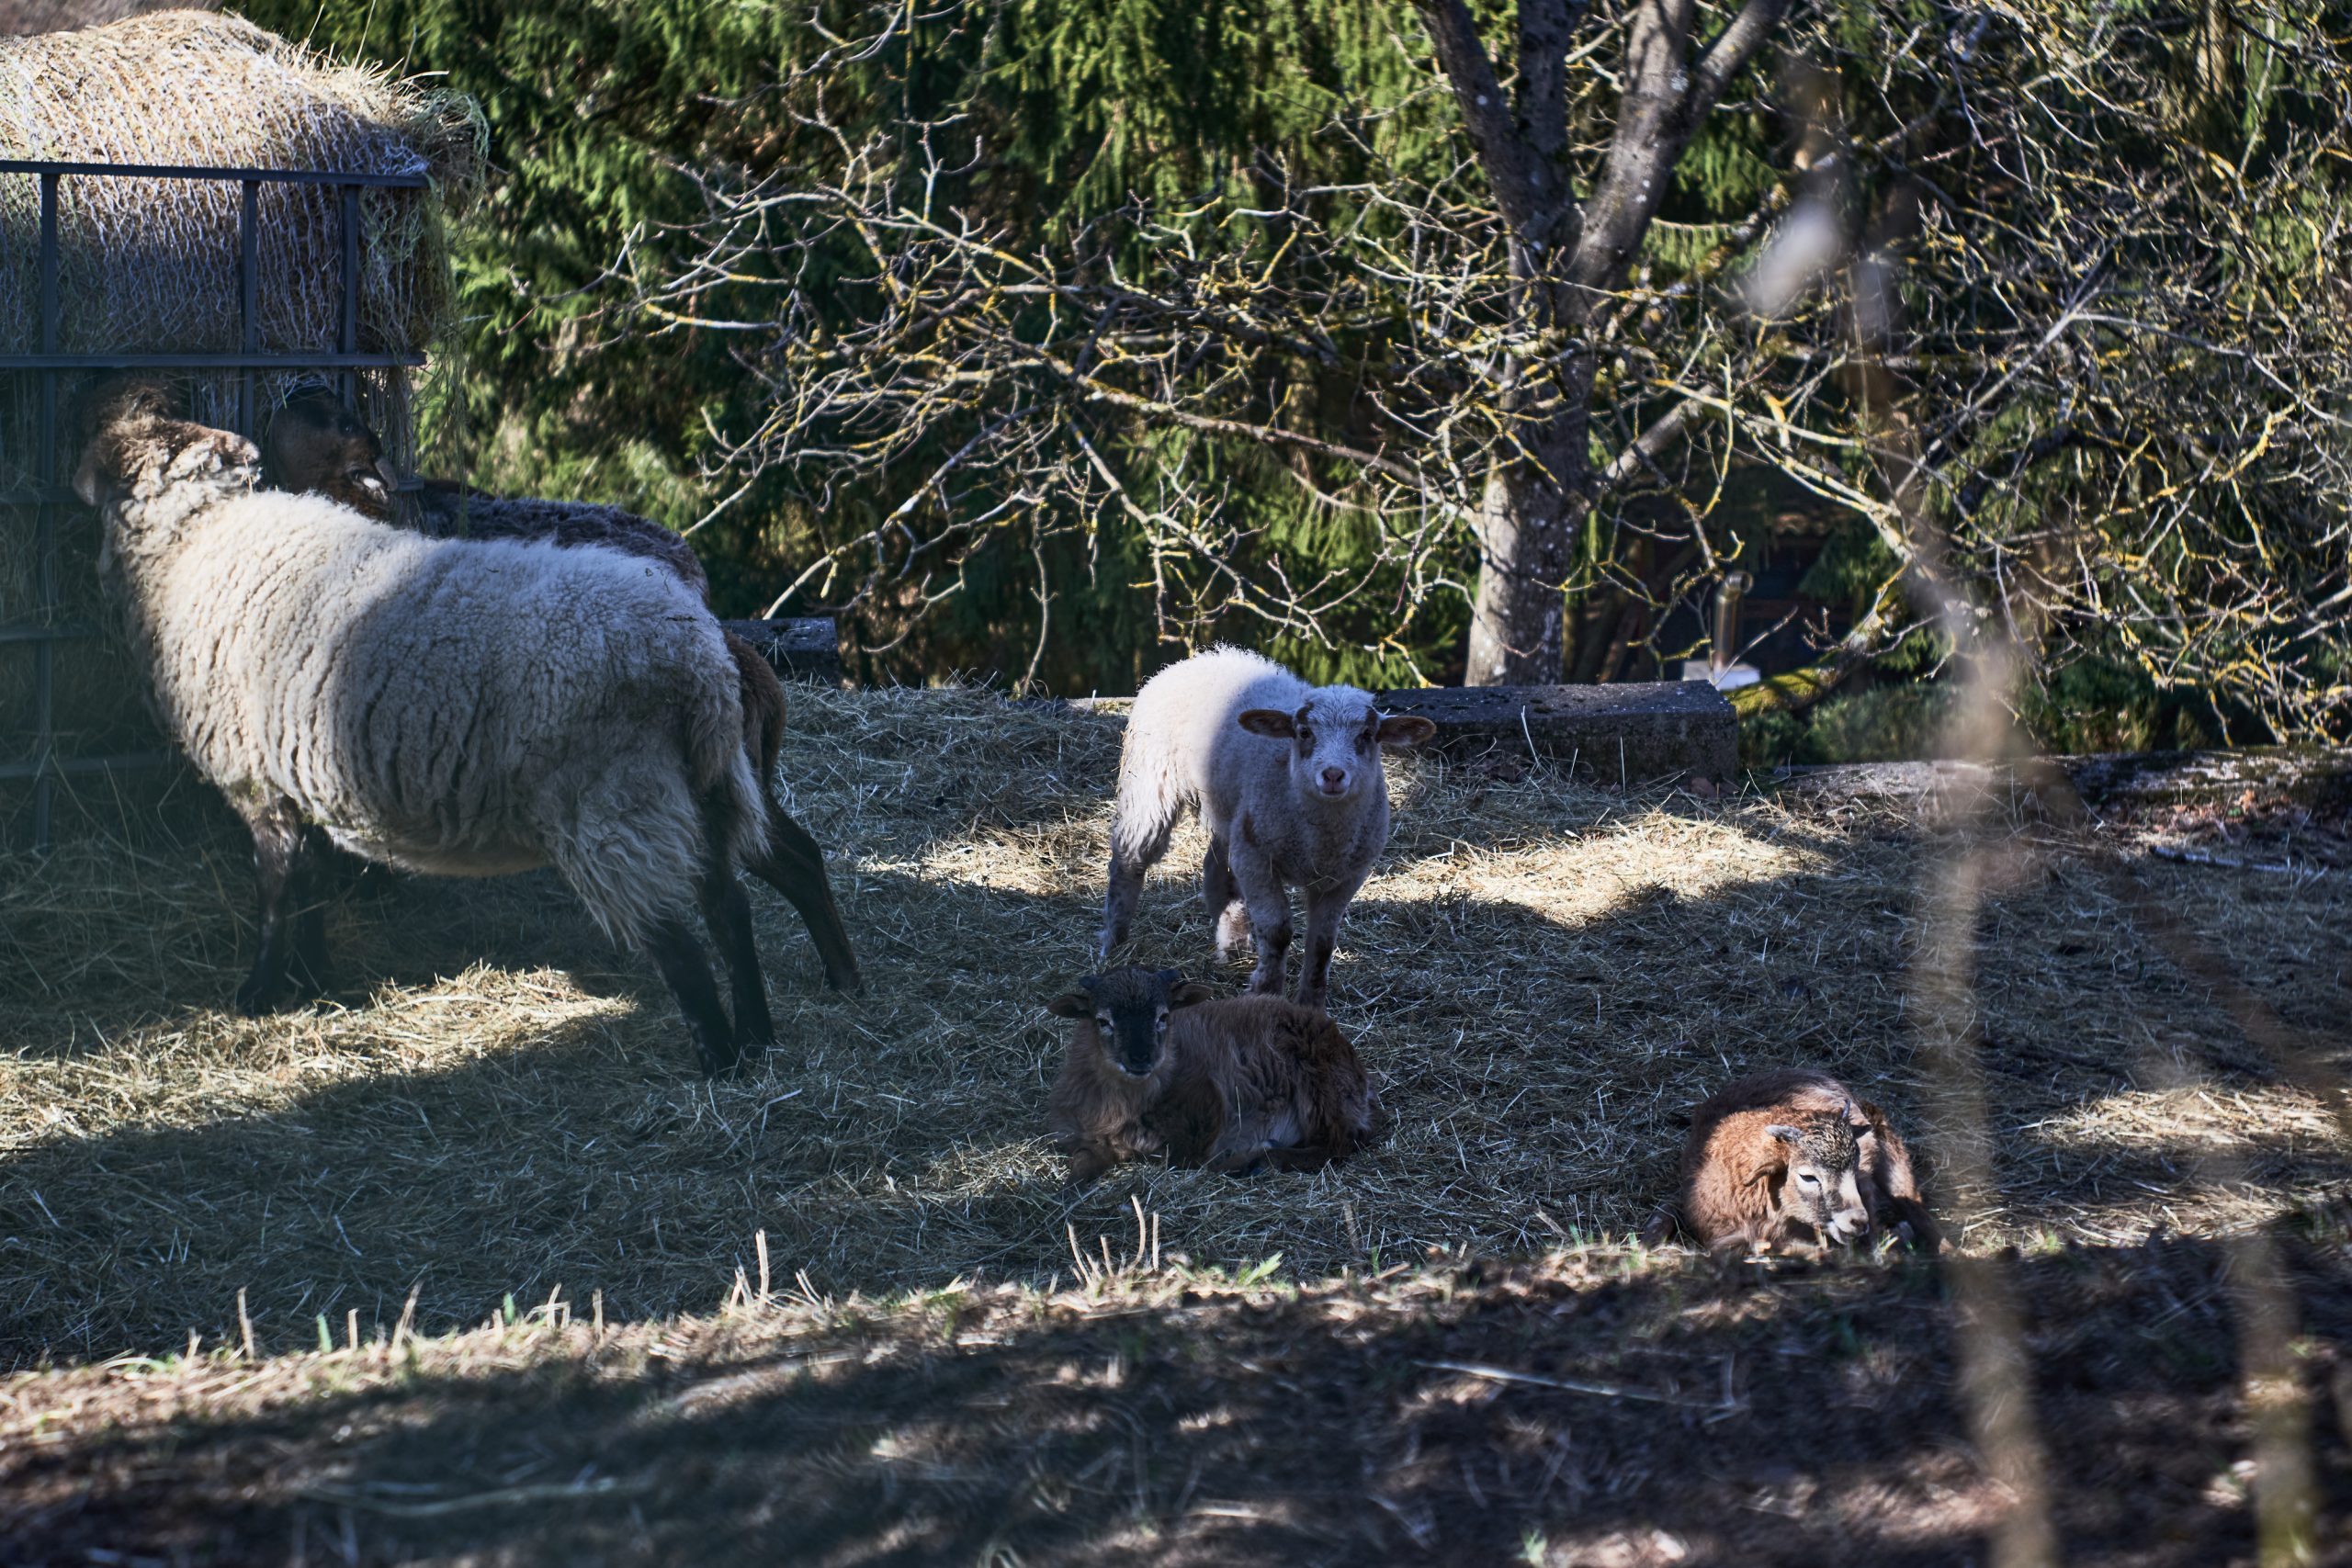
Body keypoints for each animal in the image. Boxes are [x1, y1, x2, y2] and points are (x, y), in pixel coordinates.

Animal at [68, 376, 771, 1081]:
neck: (197, 538)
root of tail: (696, 664)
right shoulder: (296, 773)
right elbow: (312, 881)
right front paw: (316, 978)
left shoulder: (255, 775)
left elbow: (276, 886)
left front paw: (260, 991)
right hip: (708, 786)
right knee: (730, 908)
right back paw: (757, 1043)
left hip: (613, 806)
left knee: (677, 941)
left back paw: (719, 1060)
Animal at [262, 383, 865, 991]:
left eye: (341, 422)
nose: (295, 402)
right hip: (732, 787)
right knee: (797, 852)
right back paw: (843, 976)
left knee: (781, 859)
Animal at [1048, 964, 1374, 1184]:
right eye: (1103, 1020)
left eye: (1163, 1016)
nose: (1141, 1058)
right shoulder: (1088, 1138)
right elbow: (1080, 1169)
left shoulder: (1208, 1111)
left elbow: (1193, 1159)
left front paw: (1247, 1157)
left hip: (1321, 1084)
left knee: (1341, 1142)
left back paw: (1263, 1159)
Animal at [1095, 649, 1430, 1006]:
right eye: (1304, 732)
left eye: (1367, 734)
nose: (1333, 775)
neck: (1320, 840)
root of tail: (1196, 659)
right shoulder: (1257, 859)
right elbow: (1277, 931)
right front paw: (1266, 993)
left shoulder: (1347, 876)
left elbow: (1323, 944)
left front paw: (1311, 1005)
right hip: (1150, 782)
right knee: (1129, 860)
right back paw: (1114, 942)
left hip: (1231, 810)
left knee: (1217, 869)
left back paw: (1232, 951)